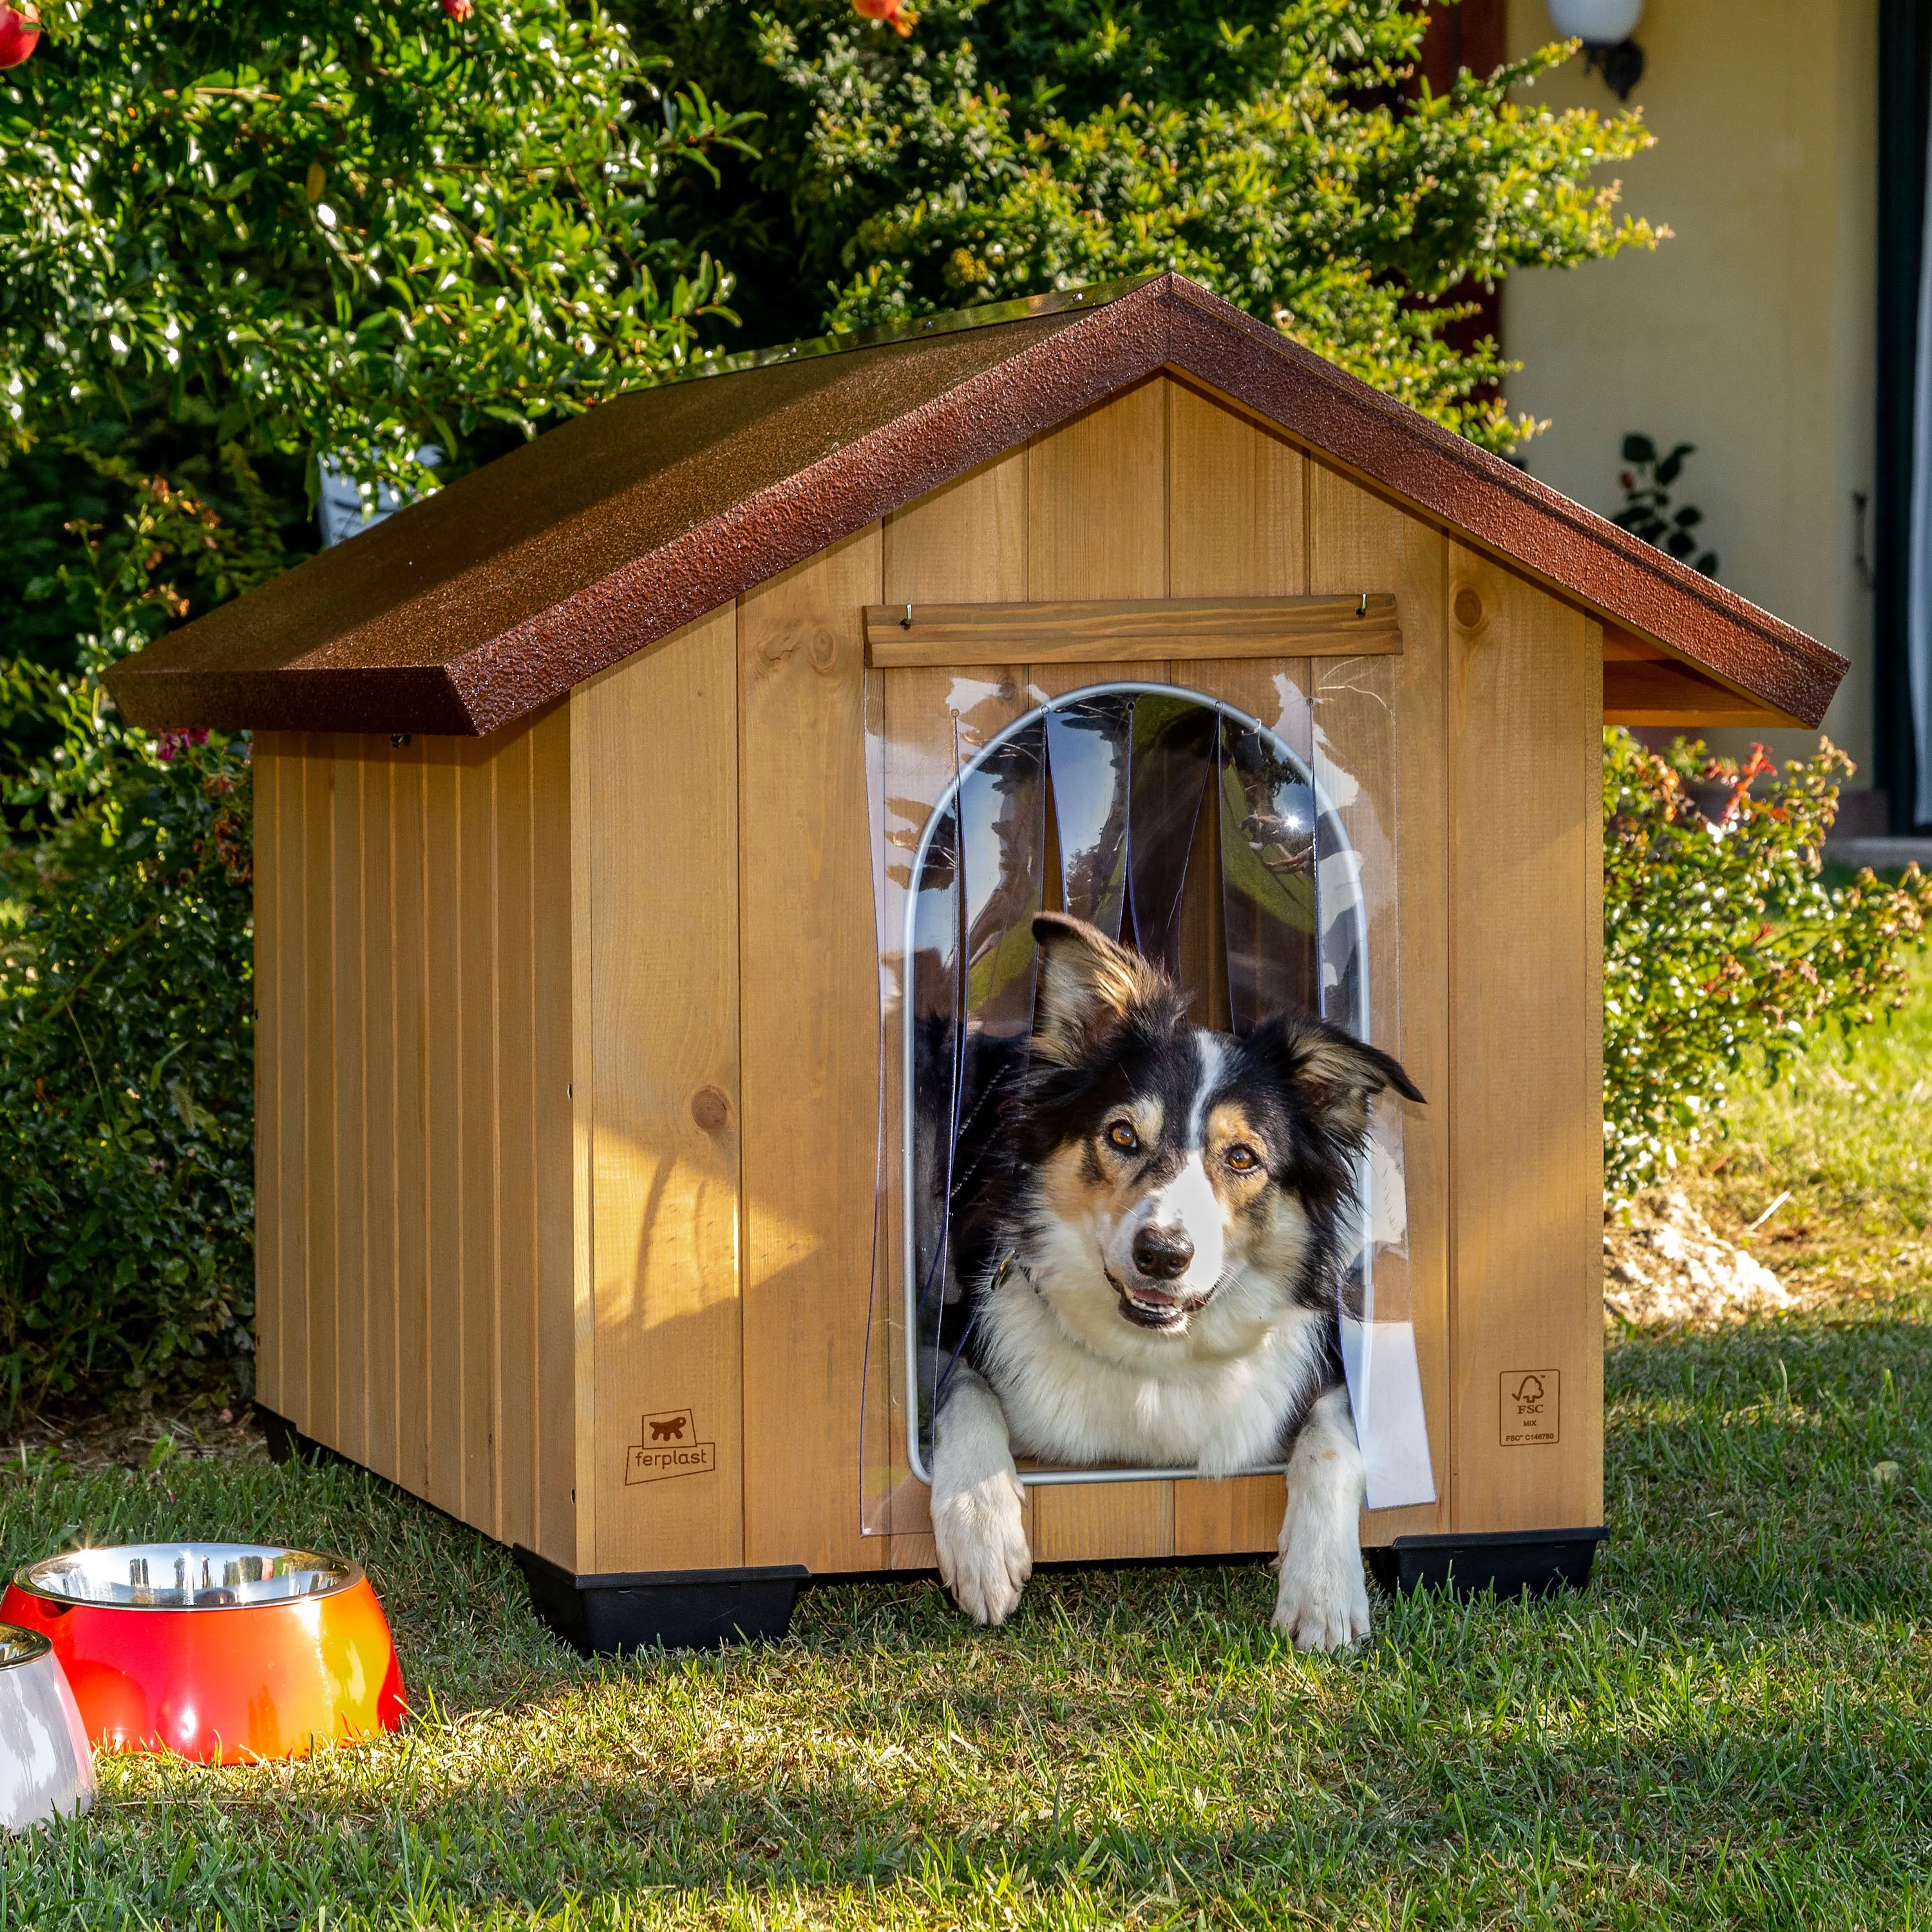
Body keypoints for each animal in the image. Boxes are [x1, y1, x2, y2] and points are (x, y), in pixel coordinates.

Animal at [935, 912, 1422, 1654]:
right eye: (1122, 1135)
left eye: (1243, 1157)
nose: (1162, 1255)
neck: (1158, 1358)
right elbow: (962, 1390)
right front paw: (981, 1527)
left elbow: (1334, 1440)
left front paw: (1324, 1590)